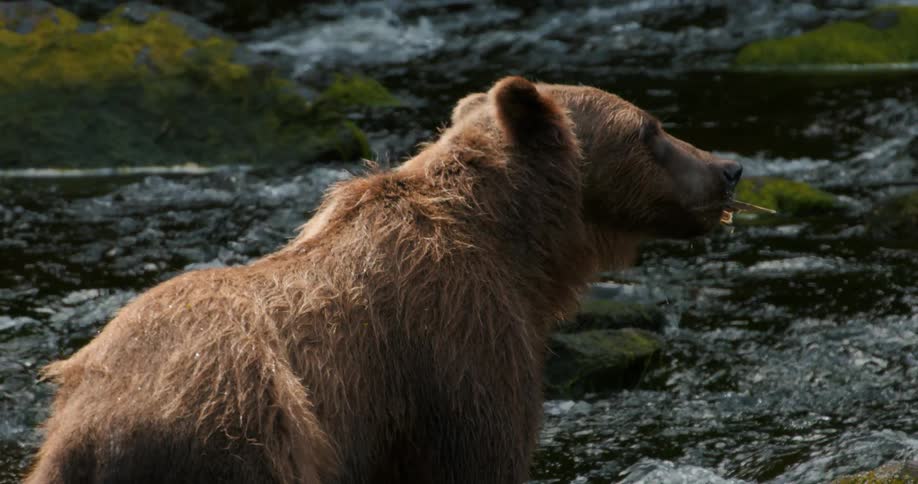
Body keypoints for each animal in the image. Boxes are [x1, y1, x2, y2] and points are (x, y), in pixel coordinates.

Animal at [25, 76, 742, 484]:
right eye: (650, 129)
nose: (728, 167)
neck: (520, 252)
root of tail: (87, 433)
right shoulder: (457, 349)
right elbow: (479, 456)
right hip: (243, 437)